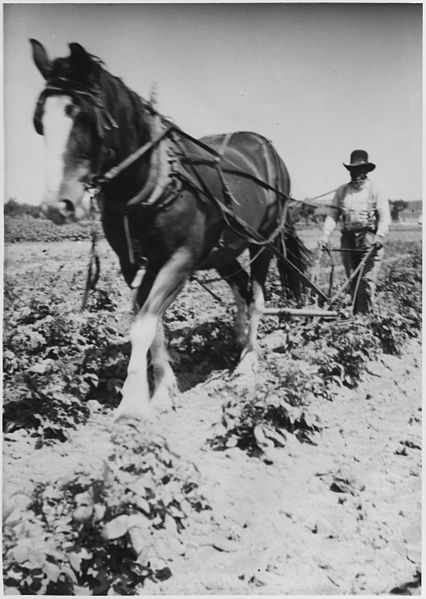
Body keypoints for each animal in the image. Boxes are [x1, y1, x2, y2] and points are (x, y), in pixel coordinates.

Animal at [30, 41, 310, 422]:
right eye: (40, 121)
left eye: (83, 115)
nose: (56, 206)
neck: (153, 181)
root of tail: (267, 148)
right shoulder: (137, 264)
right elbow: (154, 325)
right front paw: (163, 391)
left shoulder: (179, 260)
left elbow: (144, 326)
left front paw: (132, 404)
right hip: (223, 249)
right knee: (240, 289)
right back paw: (237, 341)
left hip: (263, 242)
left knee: (257, 298)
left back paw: (249, 362)